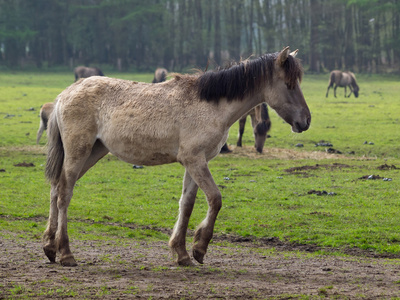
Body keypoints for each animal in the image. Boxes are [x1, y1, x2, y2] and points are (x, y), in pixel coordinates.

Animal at [44, 47, 312, 268]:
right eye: (289, 84)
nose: (306, 121)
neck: (211, 105)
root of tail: (66, 93)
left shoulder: (194, 163)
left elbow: (187, 204)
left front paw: (181, 253)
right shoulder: (195, 161)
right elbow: (215, 199)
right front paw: (199, 248)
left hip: (94, 152)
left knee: (56, 189)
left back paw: (49, 247)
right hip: (79, 152)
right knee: (64, 193)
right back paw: (66, 253)